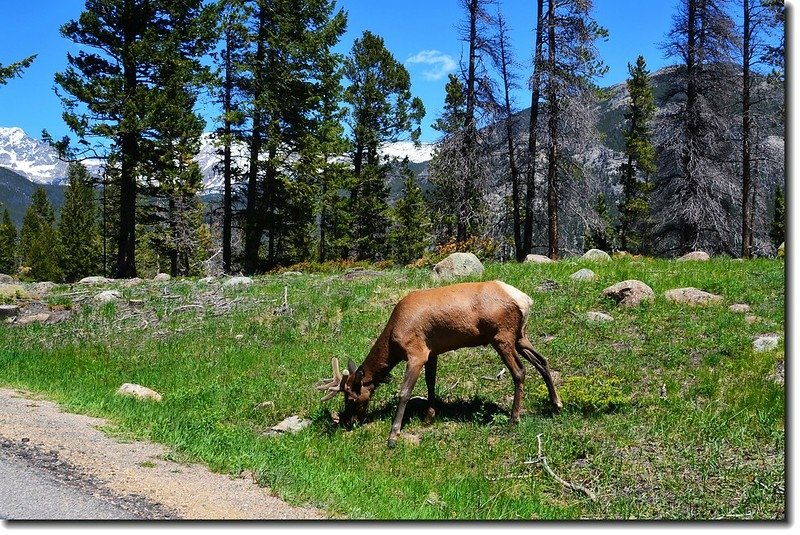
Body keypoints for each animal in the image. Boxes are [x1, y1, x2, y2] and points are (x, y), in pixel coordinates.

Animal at [318, 280, 564, 448]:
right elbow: (431, 382)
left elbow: (405, 392)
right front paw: (429, 417)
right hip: (520, 336)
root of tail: (525, 300)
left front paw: (393, 436)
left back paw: (514, 420)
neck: (393, 340)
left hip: (501, 336)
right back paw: (556, 404)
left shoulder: (416, 352)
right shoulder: (432, 352)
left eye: (350, 398)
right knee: (542, 361)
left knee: (520, 371)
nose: (346, 421)